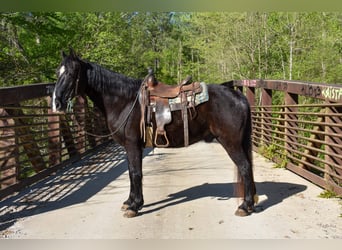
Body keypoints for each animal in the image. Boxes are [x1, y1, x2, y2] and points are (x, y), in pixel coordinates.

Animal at [51, 48, 256, 217]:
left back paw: (245, 206)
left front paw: (134, 206)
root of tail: (238, 96)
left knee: (245, 167)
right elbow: (132, 172)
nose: (57, 103)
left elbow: (135, 173)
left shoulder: (133, 145)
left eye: (71, 73)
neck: (124, 101)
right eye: (57, 72)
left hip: (231, 143)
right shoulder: (130, 147)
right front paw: (130, 202)